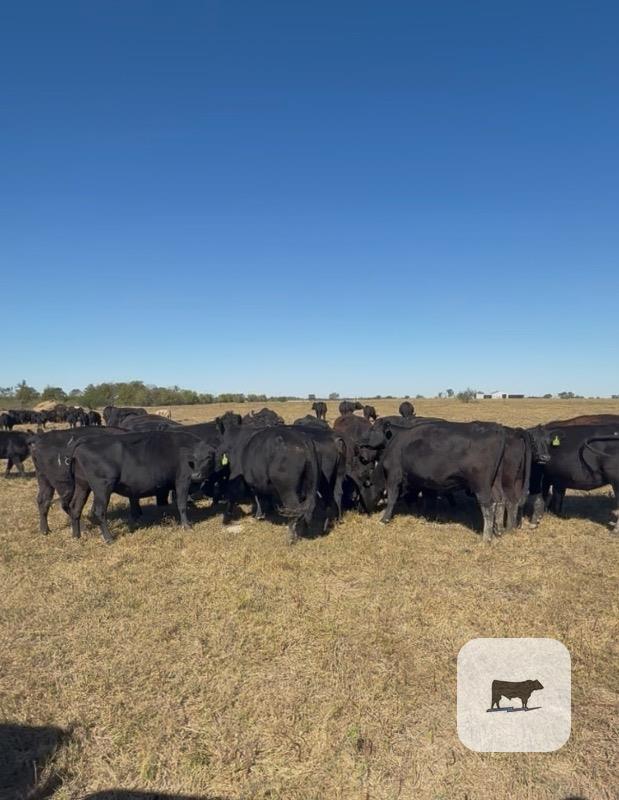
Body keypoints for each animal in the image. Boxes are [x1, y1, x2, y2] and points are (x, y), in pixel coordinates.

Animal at [68, 430, 216, 543]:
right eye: (194, 459)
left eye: (209, 458)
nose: (196, 475)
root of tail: (85, 440)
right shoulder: (182, 480)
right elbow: (182, 504)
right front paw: (186, 526)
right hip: (102, 488)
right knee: (98, 512)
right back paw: (109, 538)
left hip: (82, 485)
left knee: (75, 507)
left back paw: (76, 536)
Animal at [378, 421, 507, 541]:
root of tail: (495, 428)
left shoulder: (393, 474)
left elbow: (392, 497)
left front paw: (385, 518)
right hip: (495, 481)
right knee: (500, 500)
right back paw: (499, 530)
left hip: (481, 484)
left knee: (488, 506)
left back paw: (486, 538)